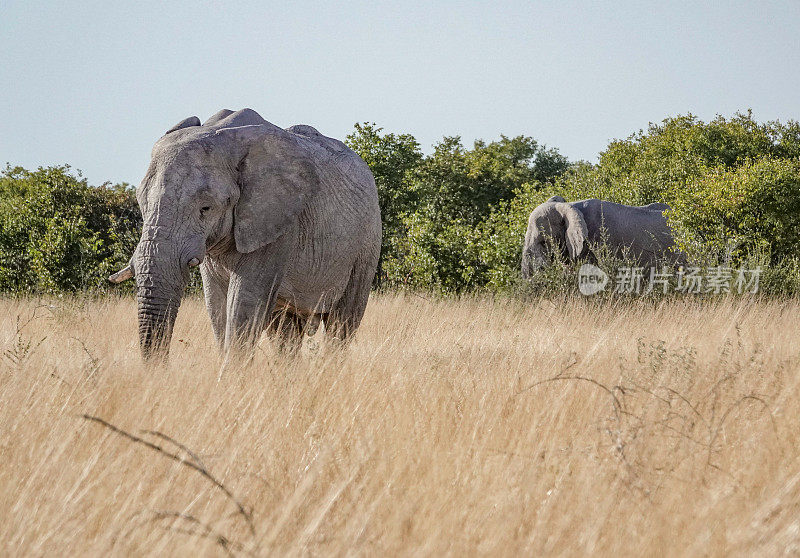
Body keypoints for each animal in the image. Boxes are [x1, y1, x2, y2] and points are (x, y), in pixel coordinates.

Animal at [109, 109, 382, 360]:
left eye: (206, 208)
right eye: (141, 203)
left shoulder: (276, 223)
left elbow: (243, 302)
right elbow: (217, 305)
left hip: (366, 245)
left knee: (342, 322)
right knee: (285, 333)